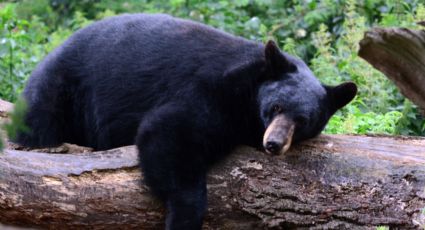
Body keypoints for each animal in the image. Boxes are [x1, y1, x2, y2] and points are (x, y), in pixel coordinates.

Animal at [14, 13, 356, 229]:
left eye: (303, 120)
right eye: (275, 106)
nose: (273, 144)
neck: (249, 88)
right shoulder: (211, 90)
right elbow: (169, 132)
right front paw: (184, 216)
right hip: (61, 90)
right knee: (40, 123)